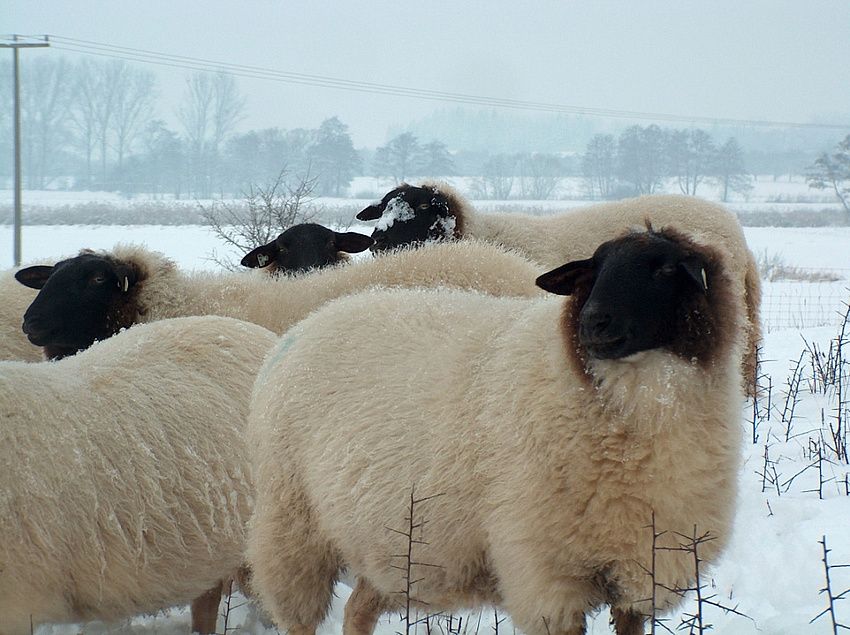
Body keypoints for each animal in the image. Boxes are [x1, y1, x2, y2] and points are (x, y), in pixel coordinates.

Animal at [245, 225, 744, 635]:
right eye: (594, 268)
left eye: (665, 268)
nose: (593, 323)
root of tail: (313, 318)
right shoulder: (547, 577)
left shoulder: (643, 569)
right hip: (292, 525)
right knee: (300, 614)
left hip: (390, 546)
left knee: (358, 610)